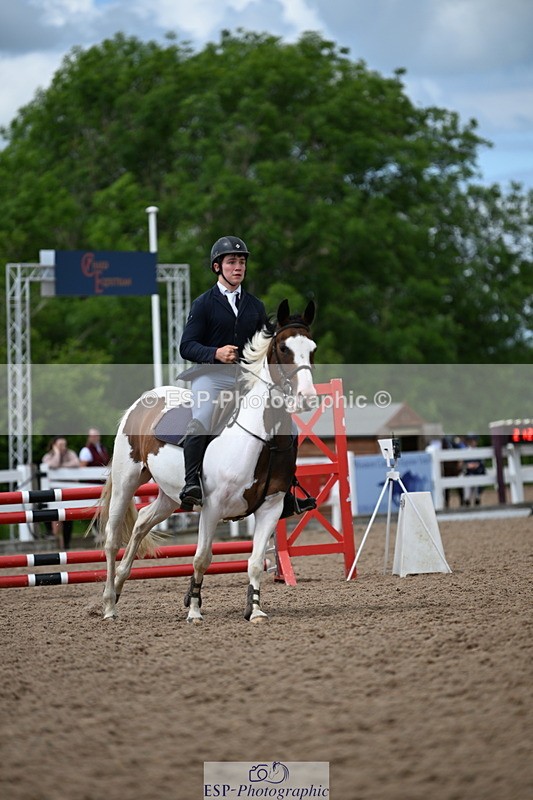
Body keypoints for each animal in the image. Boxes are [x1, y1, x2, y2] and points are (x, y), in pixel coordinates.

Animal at [98, 299, 317, 623]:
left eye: (312, 348)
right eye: (282, 347)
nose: (307, 398)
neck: (265, 438)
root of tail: (143, 401)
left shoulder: (271, 507)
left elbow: (254, 561)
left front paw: (255, 610)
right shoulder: (212, 508)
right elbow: (202, 558)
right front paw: (194, 610)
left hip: (170, 497)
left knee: (141, 522)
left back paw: (120, 583)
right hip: (128, 480)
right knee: (113, 538)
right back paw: (109, 604)